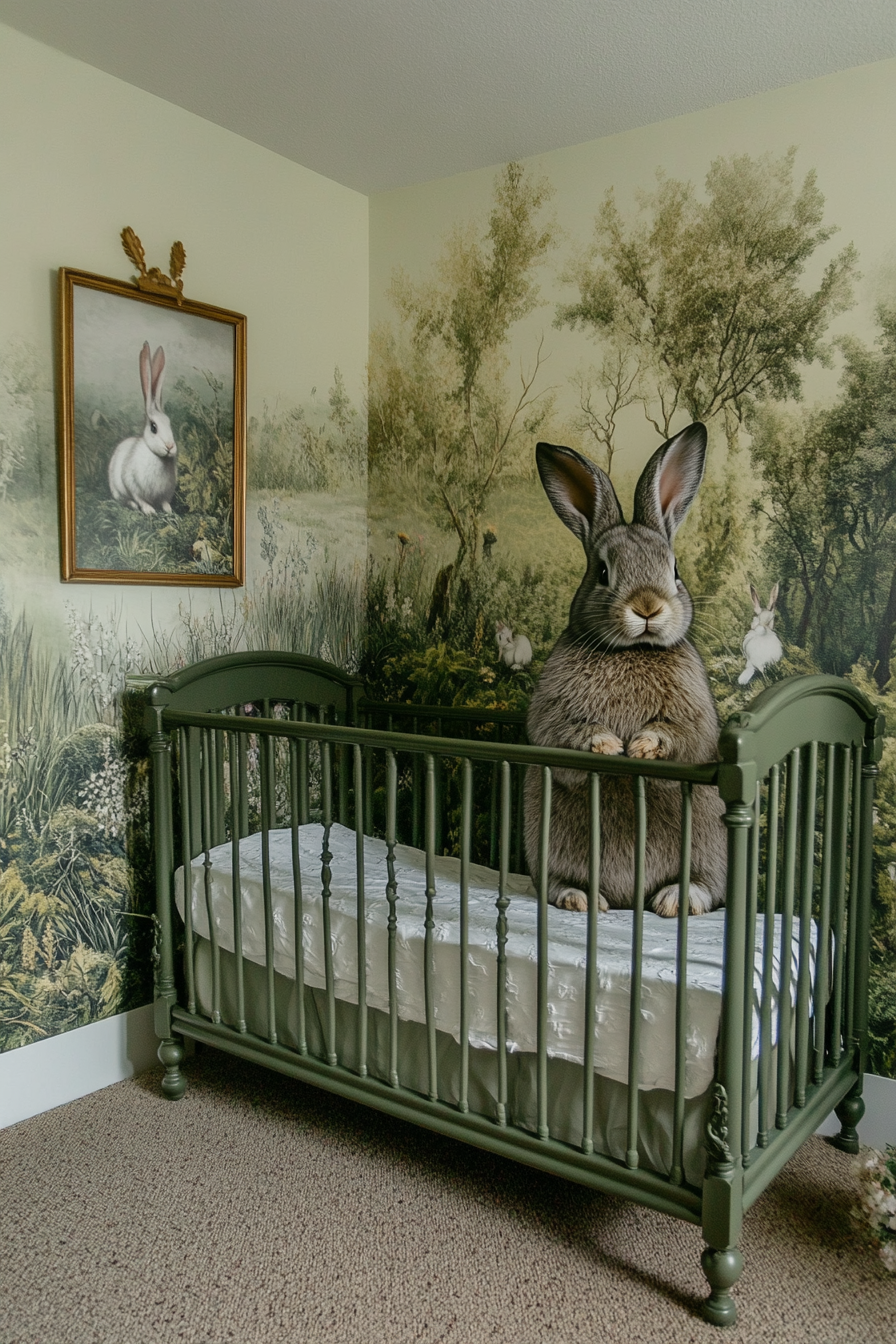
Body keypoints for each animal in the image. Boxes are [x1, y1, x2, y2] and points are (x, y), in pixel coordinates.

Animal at [108, 341, 177, 513]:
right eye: (154, 427)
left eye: (169, 424)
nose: (170, 446)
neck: (158, 458)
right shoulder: (131, 483)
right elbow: (140, 499)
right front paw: (149, 510)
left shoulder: (165, 493)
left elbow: (165, 502)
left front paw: (168, 510)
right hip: (117, 489)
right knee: (125, 500)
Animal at [526, 424, 730, 919]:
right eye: (602, 571)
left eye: (675, 568)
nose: (648, 607)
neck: (633, 650)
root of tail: (625, 899)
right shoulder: (550, 714)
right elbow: (564, 731)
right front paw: (607, 744)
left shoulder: (695, 720)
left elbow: (678, 736)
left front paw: (639, 746)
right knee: (554, 884)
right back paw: (582, 899)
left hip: (711, 847)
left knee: (706, 887)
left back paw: (675, 900)